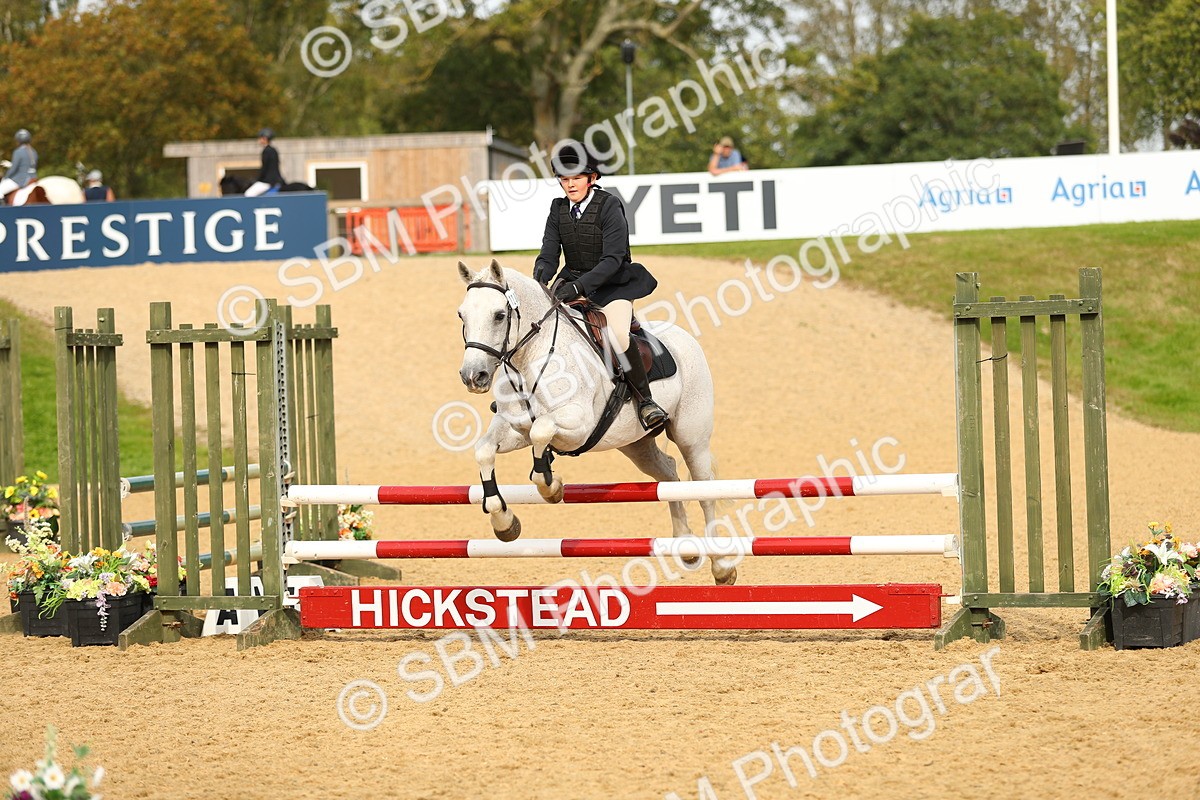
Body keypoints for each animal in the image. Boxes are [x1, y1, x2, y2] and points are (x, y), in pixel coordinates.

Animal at [456, 259, 736, 585]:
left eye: (499, 315)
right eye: (462, 314)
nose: (473, 376)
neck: (532, 359)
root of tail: (685, 338)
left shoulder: (578, 425)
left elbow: (541, 432)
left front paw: (551, 487)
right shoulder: (514, 428)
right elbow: (485, 450)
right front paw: (504, 522)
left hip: (692, 438)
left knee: (704, 491)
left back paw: (722, 566)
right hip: (636, 444)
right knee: (668, 474)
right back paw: (685, 544)